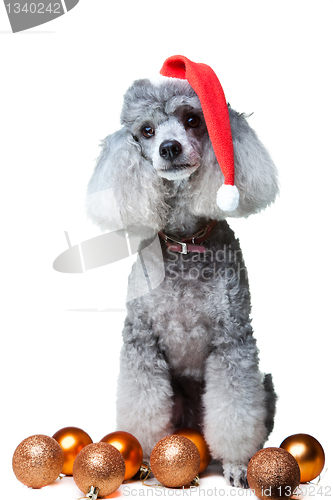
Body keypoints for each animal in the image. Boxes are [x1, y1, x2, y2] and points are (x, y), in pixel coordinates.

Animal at [85, 63, 278, 488]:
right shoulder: (141, 341)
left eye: (192, 120)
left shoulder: (232, 340)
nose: (169, 148)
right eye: (146, 130)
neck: (186, 244)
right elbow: (141, 402)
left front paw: (237, 465)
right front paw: (138, 458)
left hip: (266, 386)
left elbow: (235, 408)